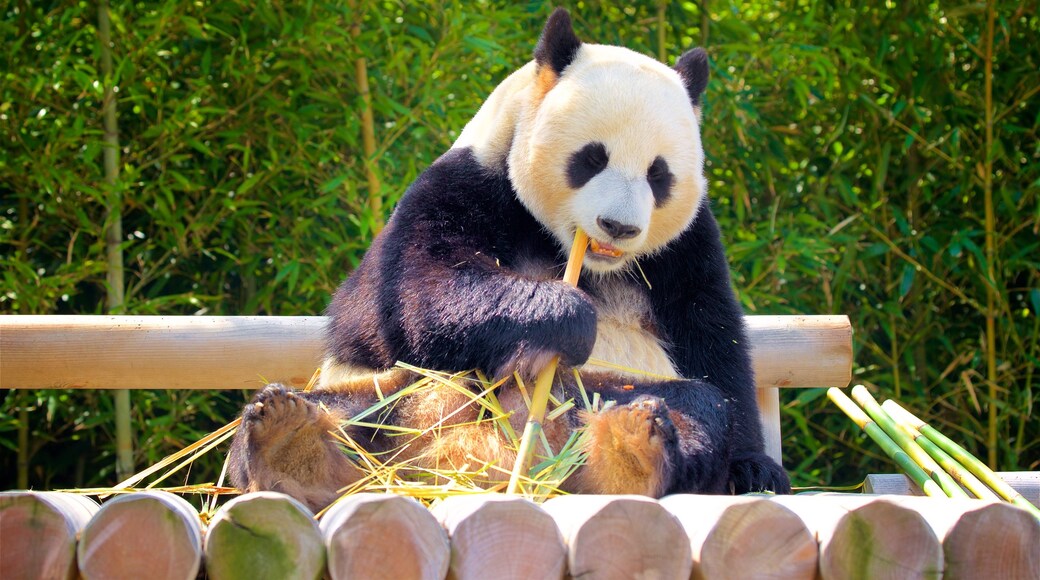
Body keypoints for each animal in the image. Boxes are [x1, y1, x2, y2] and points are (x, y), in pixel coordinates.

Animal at [227, 6, 786, 511]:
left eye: (659, 173)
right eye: (592, 158)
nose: (619, 227)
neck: (578, 255)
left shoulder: (688, 245)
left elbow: (711, 338)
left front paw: (754, 467)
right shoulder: (468, 183)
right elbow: (413, 291)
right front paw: (566, 314)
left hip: (608, 390)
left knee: (694, 405)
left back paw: (631, 447)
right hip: (396, 393)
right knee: (341, 415)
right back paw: (288, 441)